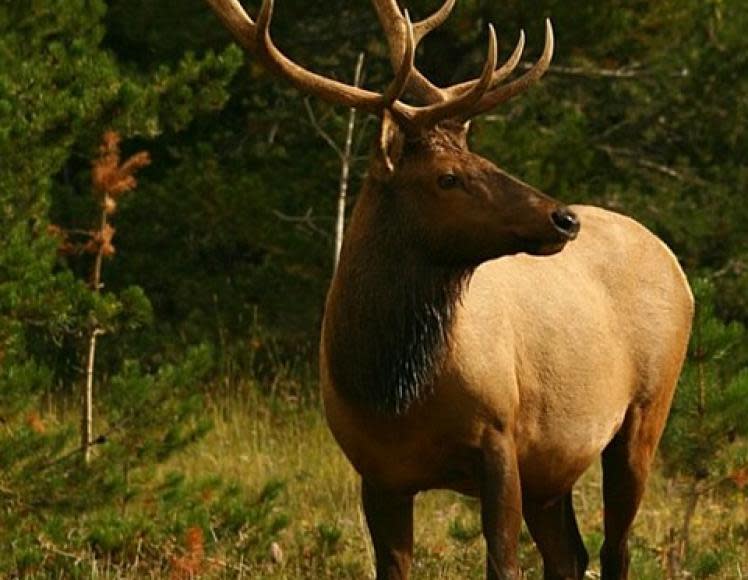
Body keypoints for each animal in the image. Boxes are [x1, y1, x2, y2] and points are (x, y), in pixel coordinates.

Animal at [204, 1, 694, 578]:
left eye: (483, 159)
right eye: (447, 176)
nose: (564, 218)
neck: (391, 394)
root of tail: (675, 264)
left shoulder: (500, 436)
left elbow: (502, 562)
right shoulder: (378, 471)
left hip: (645, 411)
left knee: (615, 548)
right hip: (553, 465)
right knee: (570, 555)